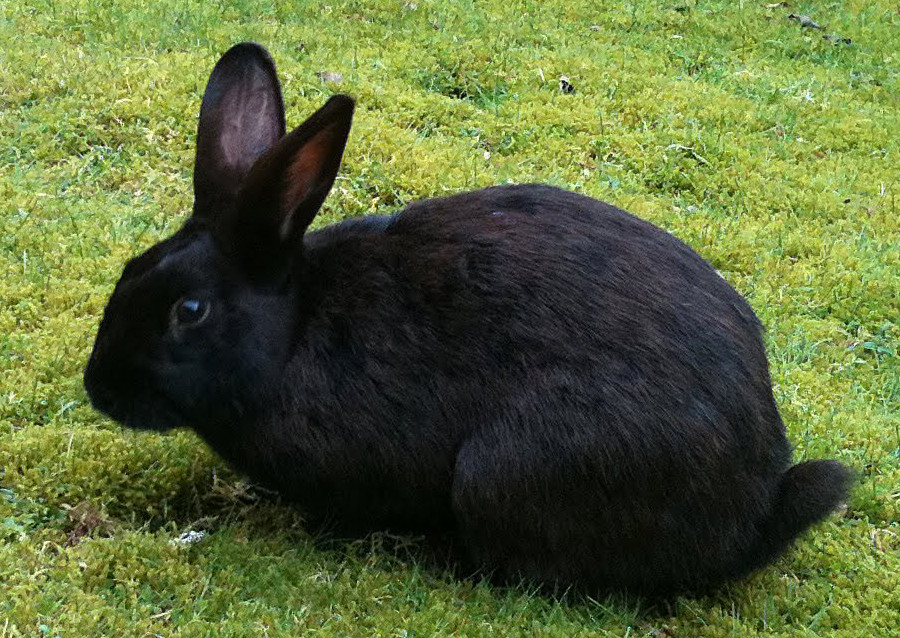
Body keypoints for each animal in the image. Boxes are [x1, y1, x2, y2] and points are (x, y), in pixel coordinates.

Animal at [84, 42, 850, 595]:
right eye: (128, 270)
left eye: (189, 310)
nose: (98, 388)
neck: (294, 332)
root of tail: (749, 516)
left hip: (504, 470)